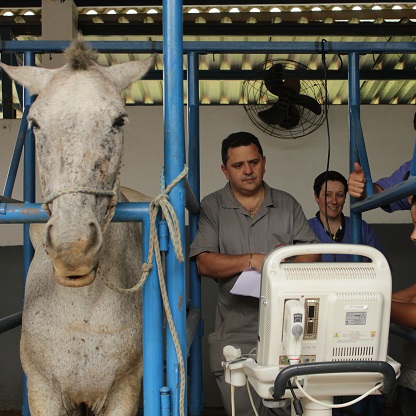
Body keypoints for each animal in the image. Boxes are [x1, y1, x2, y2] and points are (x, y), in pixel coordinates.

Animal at [0, 38, 154, 416]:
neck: (81, 310)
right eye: (35, 124)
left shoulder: (124, 391)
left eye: (119, 120)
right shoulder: (43, 391)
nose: (74, 250)